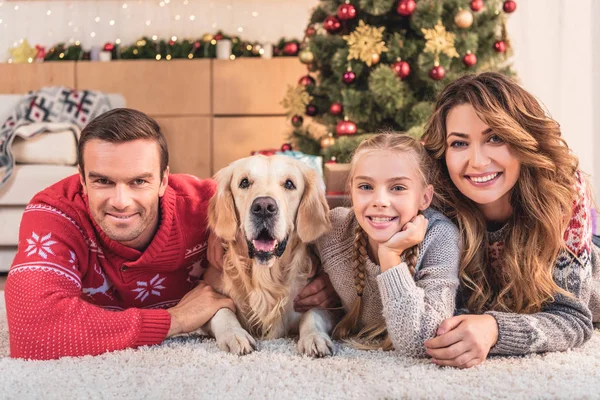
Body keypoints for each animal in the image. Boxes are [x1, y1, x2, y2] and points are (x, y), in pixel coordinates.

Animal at [200, 154, 332, 356]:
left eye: (289, 184)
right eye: (244, 182)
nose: (263, 207)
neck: (265, 276)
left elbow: (312, 314)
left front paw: (314, 337)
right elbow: (221, 311)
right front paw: (235, 335)